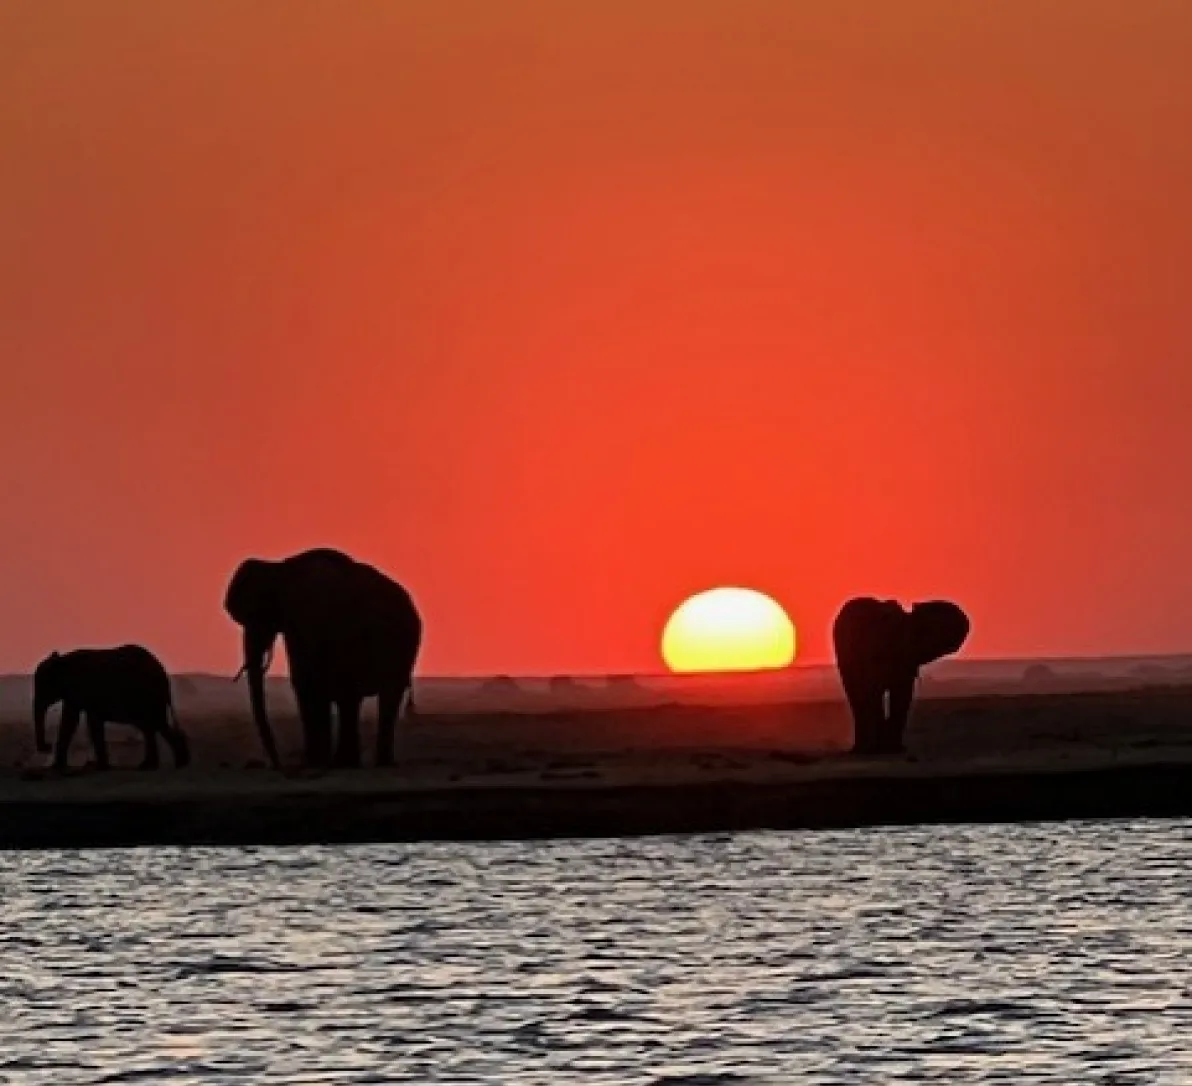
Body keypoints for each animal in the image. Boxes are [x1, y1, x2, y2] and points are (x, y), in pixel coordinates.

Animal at [33, 643, 190, 772]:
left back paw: (176, 763)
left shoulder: (82, 689)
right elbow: (76, 721)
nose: (47, 747)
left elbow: (80, 721)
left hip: (149, 695)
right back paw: (153, 765)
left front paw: (99, 767)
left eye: (43, 686)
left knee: (155, 724)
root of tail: (163, 672)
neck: (63, 661)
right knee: (150, 727)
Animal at [224, 548, 424, 767]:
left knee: (372, 695)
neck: (279, 567)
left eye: (258, 616)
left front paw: (313, 762)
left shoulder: (303, 616)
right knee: (363, 697)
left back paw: (355, 763)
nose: (278, 765)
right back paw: (361, 763)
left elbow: (304, 679)